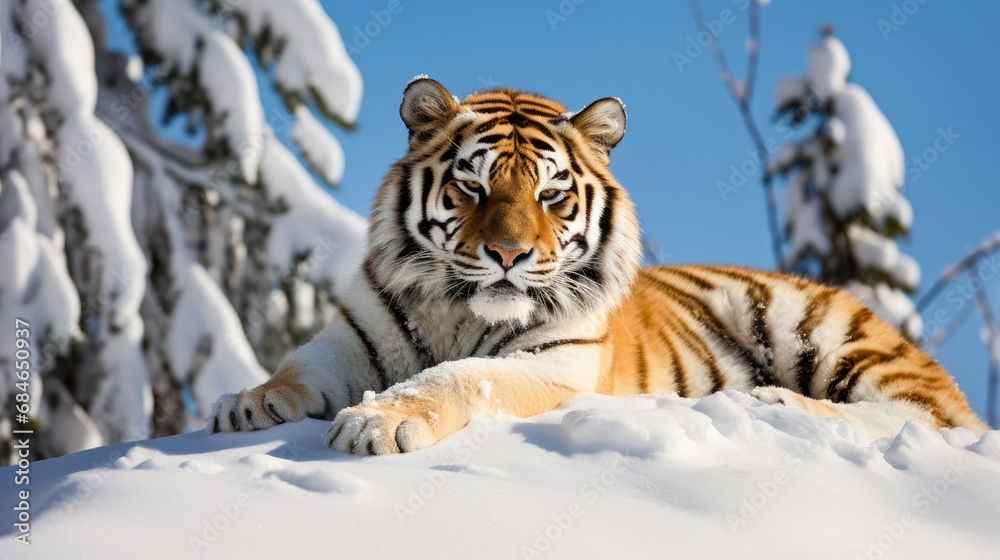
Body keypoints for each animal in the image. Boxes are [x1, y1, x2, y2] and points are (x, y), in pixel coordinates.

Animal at [209, 77, 989, 455]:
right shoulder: (352, 336)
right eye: (473, 187)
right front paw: (246, 404)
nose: (508, 254)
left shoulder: (556, 365)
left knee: (923, 418)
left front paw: (378, 421)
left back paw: (769, 402)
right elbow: (296, 367)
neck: (458, 311)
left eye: (551, 195)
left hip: (820, 329)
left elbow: (460, 377)